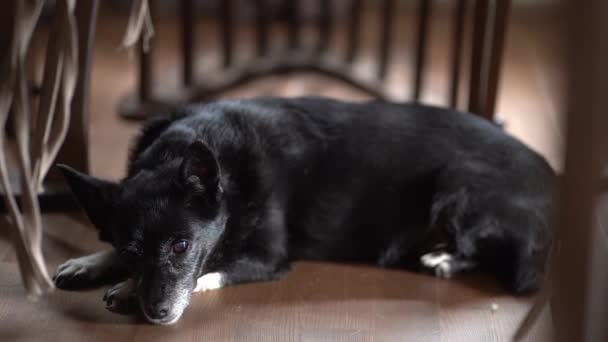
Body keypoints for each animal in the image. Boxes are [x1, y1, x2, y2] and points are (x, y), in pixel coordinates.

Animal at [53, 96, 556, 324]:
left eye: (181, 246)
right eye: (132, 251)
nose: (155, 313)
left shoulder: (266, 259)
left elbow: (209, 267)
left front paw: (124, 287)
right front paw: (93, 262)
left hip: (457, 186)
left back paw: (446, 257)